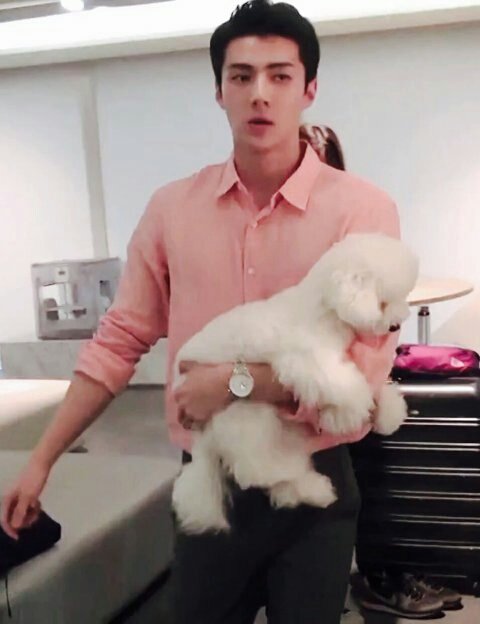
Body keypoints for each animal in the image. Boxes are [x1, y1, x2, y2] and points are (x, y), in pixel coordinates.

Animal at [172, 233, 419, 534]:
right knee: (255, 470)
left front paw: (384, 411)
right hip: (246, 415)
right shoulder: (306, 361)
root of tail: (201, 439)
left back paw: (312, 490)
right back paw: (293, 472)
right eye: (383, 302)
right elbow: (345, 385)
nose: (395, 326)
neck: (323, 310)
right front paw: (356, 408)